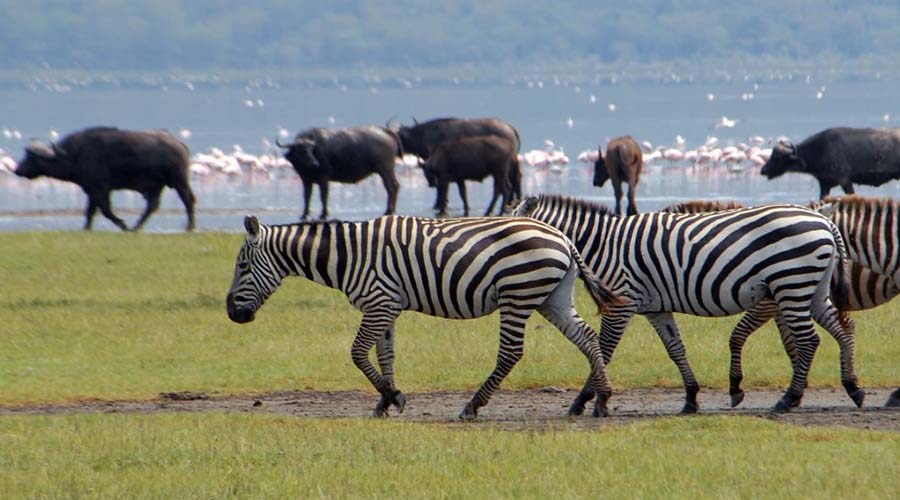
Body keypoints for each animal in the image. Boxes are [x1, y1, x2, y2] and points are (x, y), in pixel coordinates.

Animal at [225, 214, 620, 419]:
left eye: (242, 266)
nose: (231, 313)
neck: (348, 256)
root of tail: (563, 237)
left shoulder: (379, 302)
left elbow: (356, 353)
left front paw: (394, 397)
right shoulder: (386, 306)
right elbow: (384, 354)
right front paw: (384, 401)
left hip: (518, 294)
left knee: (510, 353)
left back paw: (472, 406)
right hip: (552, 297)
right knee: (587, 337)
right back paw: (600, 399)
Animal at [513, 194, 855, 413]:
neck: (602, 244)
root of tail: (823, 220)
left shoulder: (621, 303)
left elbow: (604, 350)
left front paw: (589, 400)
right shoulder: (656, 307)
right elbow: (675, 349)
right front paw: (691, 398)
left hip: (791, 283)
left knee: (809, 340)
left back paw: (789, 399)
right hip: (810, 287)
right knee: (843, 327)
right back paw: (853, 388)